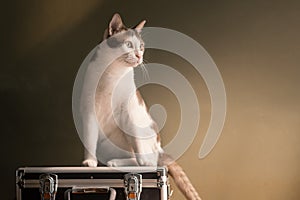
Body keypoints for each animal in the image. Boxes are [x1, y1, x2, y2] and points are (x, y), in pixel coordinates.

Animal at [79, 13, 202, 199]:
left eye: (141, 46)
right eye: (129, 45)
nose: (139, 56)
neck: (112, 74)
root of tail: (160, 149)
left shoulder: (128, 111)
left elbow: (139, 151)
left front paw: (143, 163)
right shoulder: (89, 112)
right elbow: (89, 140)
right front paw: (89, 162)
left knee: (144, 159)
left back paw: (126, 162)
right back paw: (114, 162)